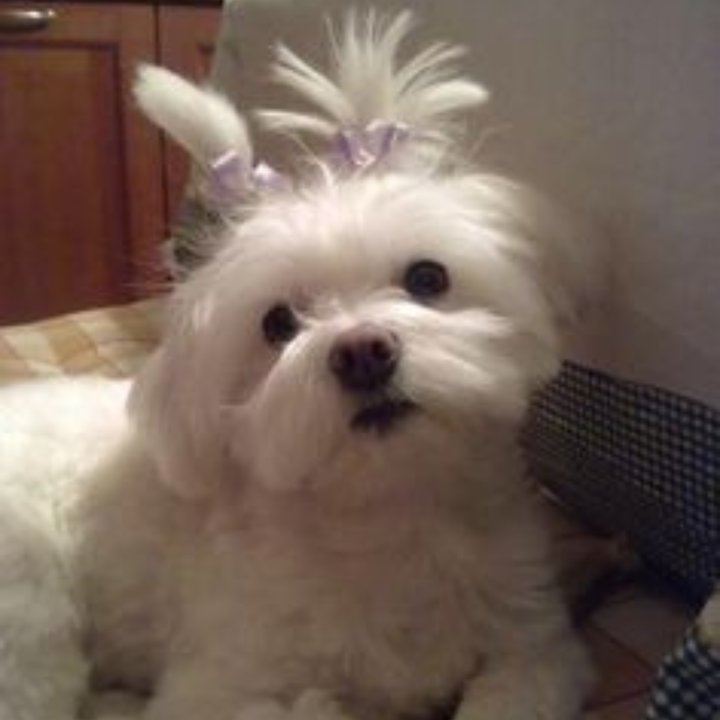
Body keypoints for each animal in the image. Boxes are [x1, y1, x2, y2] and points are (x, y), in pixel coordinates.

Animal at [0, 11, 599, 720]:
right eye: (277, 324)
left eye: (428, 277)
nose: (363, 352)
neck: (389, 516)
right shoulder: (211, 687)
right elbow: (304, 703)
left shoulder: (535, 649)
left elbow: (511, 690)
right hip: (29, 628)